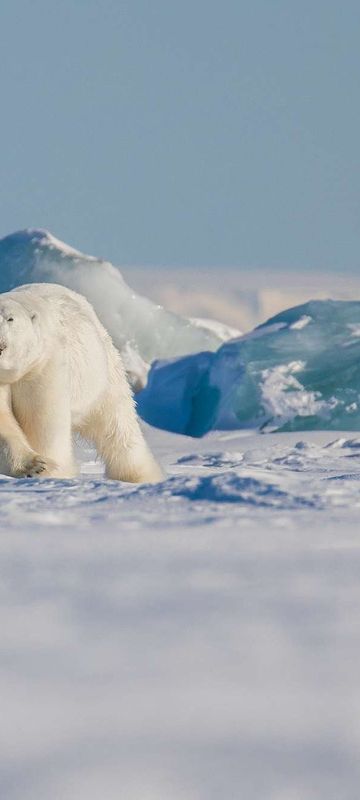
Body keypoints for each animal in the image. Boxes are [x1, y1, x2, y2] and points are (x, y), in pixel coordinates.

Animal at [0, 282, 163, 482]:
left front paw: (49, 471)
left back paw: (138, 475)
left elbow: (42, 421)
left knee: (118, 425)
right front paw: (32, 465)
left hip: (102, 377)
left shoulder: (44, 365)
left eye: (10, 319)